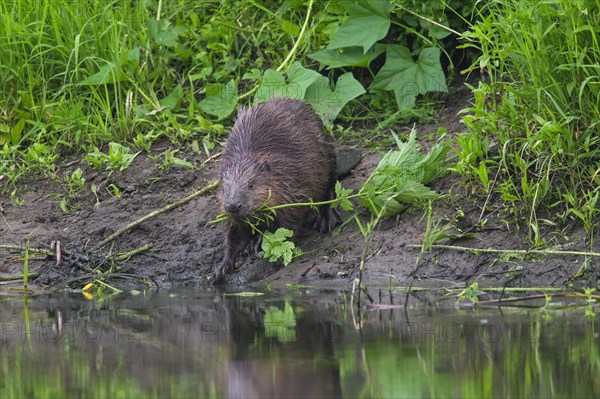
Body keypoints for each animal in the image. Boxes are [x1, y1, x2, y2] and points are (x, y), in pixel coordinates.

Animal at [216, 98, 340, 276]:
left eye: (251, 184)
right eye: (224, 188)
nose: (233, 205)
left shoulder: (293, 188)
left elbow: (289, 226)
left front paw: (277, 259)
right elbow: (233, 235)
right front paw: (222, 267)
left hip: (326, 151)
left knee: (331, 183)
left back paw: (326, 218)